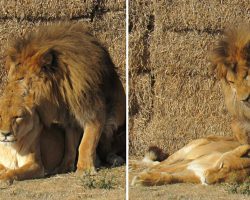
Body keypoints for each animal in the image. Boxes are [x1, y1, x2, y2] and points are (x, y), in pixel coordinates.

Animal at [5, 23, 127, 173]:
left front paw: (85, 168)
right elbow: (70, 145)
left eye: (20, 78)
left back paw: (113, 158)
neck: (60, 91)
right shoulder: (69, 119)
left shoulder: (94, 112)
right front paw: (65, 166)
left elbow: (87, 142)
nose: (7, 93)